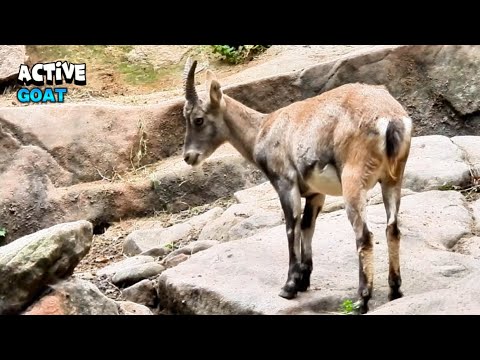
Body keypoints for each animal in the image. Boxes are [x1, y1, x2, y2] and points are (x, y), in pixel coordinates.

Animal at [180, 59, 412, 312]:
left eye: (198, 119)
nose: (188, 157)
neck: (262, 130)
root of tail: (390, 119)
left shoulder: (285, 183)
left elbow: (292, 228)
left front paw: (289, 286)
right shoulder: (315, 193)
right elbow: (308, 227)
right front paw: (304, 280)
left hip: (353, 181)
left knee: (365, 236)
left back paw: (362, 299)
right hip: (393, 179)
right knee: (393, 228)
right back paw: (395, 291)